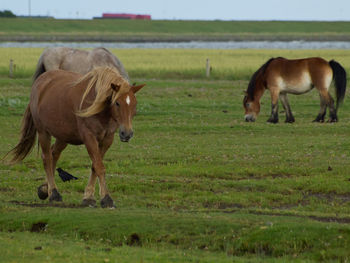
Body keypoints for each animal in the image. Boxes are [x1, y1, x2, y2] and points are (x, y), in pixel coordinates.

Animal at [8, 66, 145, 208]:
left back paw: (45, 189)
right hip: (43, 132)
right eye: (117, 103)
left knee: (54, 155)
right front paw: (106, 198)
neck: (98, 106)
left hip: (63, 136)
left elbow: (95, 166)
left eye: (135, 104)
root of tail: (40, 81)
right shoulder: (89, 137)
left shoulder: (107, 139)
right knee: (47, 158)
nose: (127, 133)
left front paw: (88, 196)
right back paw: (54, 193)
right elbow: (99, 166)